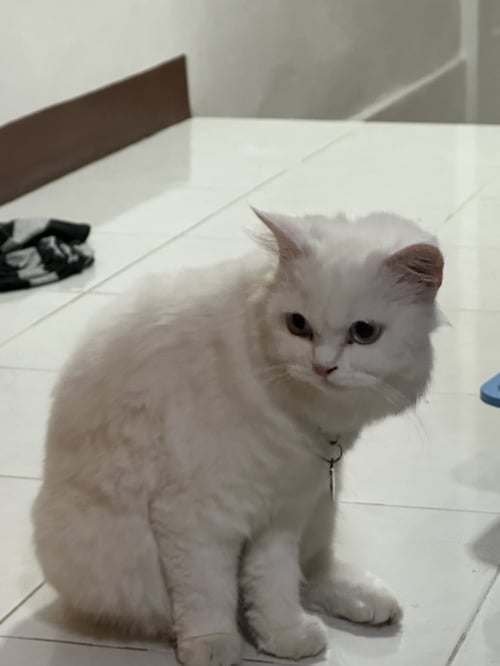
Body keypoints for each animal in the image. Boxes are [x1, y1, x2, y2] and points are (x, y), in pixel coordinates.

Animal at [33, 207, 444, 666]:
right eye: (298, 325)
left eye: (364, 332)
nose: (321, 367)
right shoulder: (198, 518)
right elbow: (209, 592)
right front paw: (213, 646)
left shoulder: (282, 514)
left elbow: (273, 585)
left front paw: (283, 637)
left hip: (322, 510)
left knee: (315, 570)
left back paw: (366, 601)